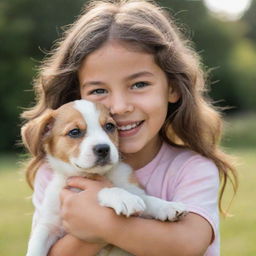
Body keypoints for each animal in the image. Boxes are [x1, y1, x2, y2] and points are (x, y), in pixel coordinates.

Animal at [21, 99, 186, 255]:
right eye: (74, 132)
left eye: (109, 126)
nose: (103, 149)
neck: (93, 175)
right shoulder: (48, 225)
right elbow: (36, 246)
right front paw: (123, 197)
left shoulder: (134, 190)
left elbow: (145, 198)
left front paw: (167, 206)